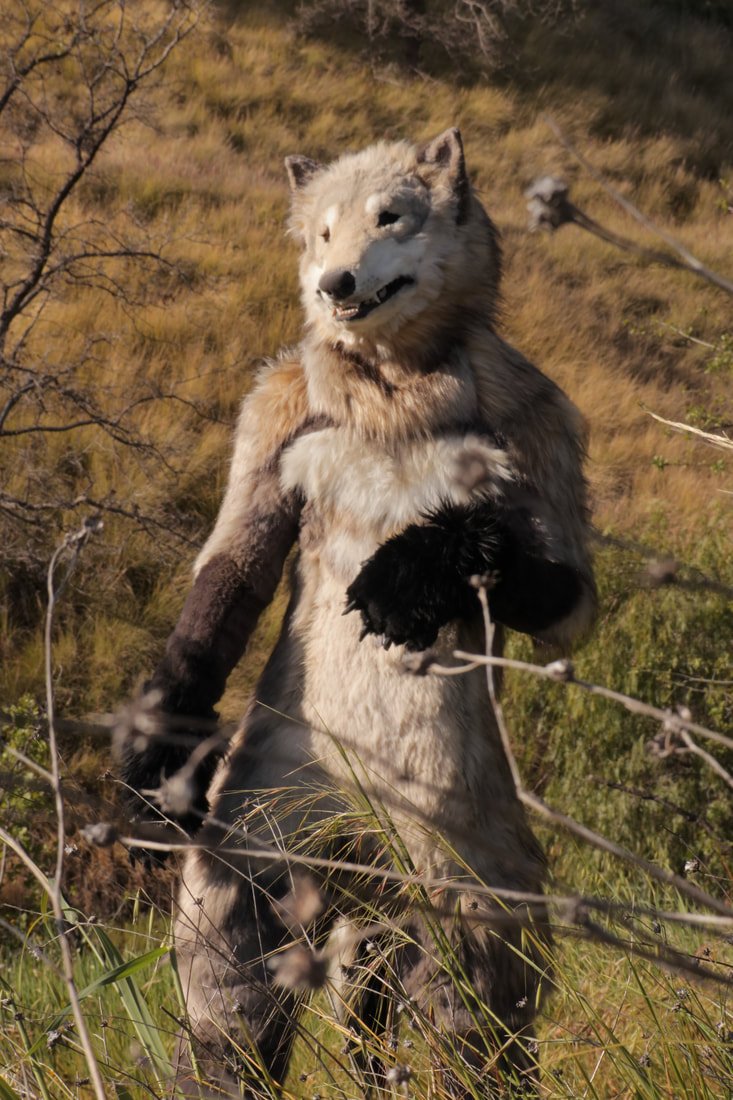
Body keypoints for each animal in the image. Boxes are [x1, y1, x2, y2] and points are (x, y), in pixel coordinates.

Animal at [120, 128, 595, 1097]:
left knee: (474, 1012)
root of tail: (358, 836)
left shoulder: (538, 419)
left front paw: (416, 569)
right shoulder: (272, 418)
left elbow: (563, 596)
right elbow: (229, 569)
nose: (334, 285)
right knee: (232, 987)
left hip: (458, 878)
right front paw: (155, 752)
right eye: (321, 232)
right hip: (266, 838)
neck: (390, 397)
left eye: (391, 217)